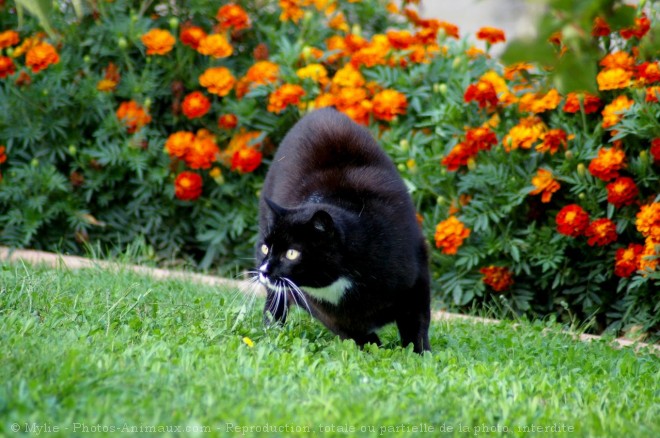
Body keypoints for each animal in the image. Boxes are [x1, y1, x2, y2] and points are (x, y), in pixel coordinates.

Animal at [255, 108, 430, 354]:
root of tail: (321, 111)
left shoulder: (417, 277)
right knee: (275, 301)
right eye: (265, 248)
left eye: (291, 253)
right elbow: (356, 334)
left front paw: (419, 354)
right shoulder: (324, 310)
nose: (264, 270)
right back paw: (271, 329)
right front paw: (375, 351)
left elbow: (416, 323)